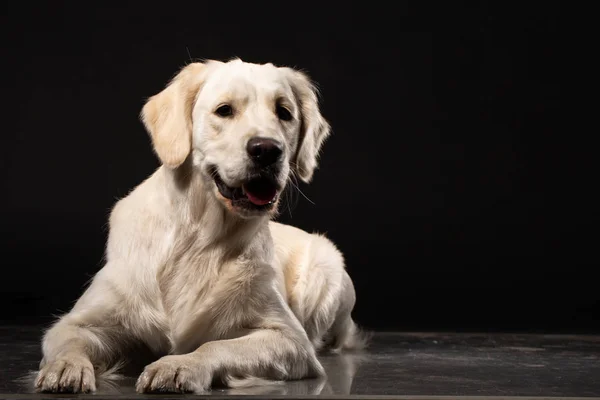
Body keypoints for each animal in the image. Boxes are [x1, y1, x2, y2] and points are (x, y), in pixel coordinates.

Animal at [32, 58, 366, 394]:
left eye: (284, 112)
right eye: (224, 110)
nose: (267, 149)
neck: (199, 236)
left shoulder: (291, 339)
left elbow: (216, 345)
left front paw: (178, 366)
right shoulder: (79, 320)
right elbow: (67, 339)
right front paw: (65, 367)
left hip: (324, 270)